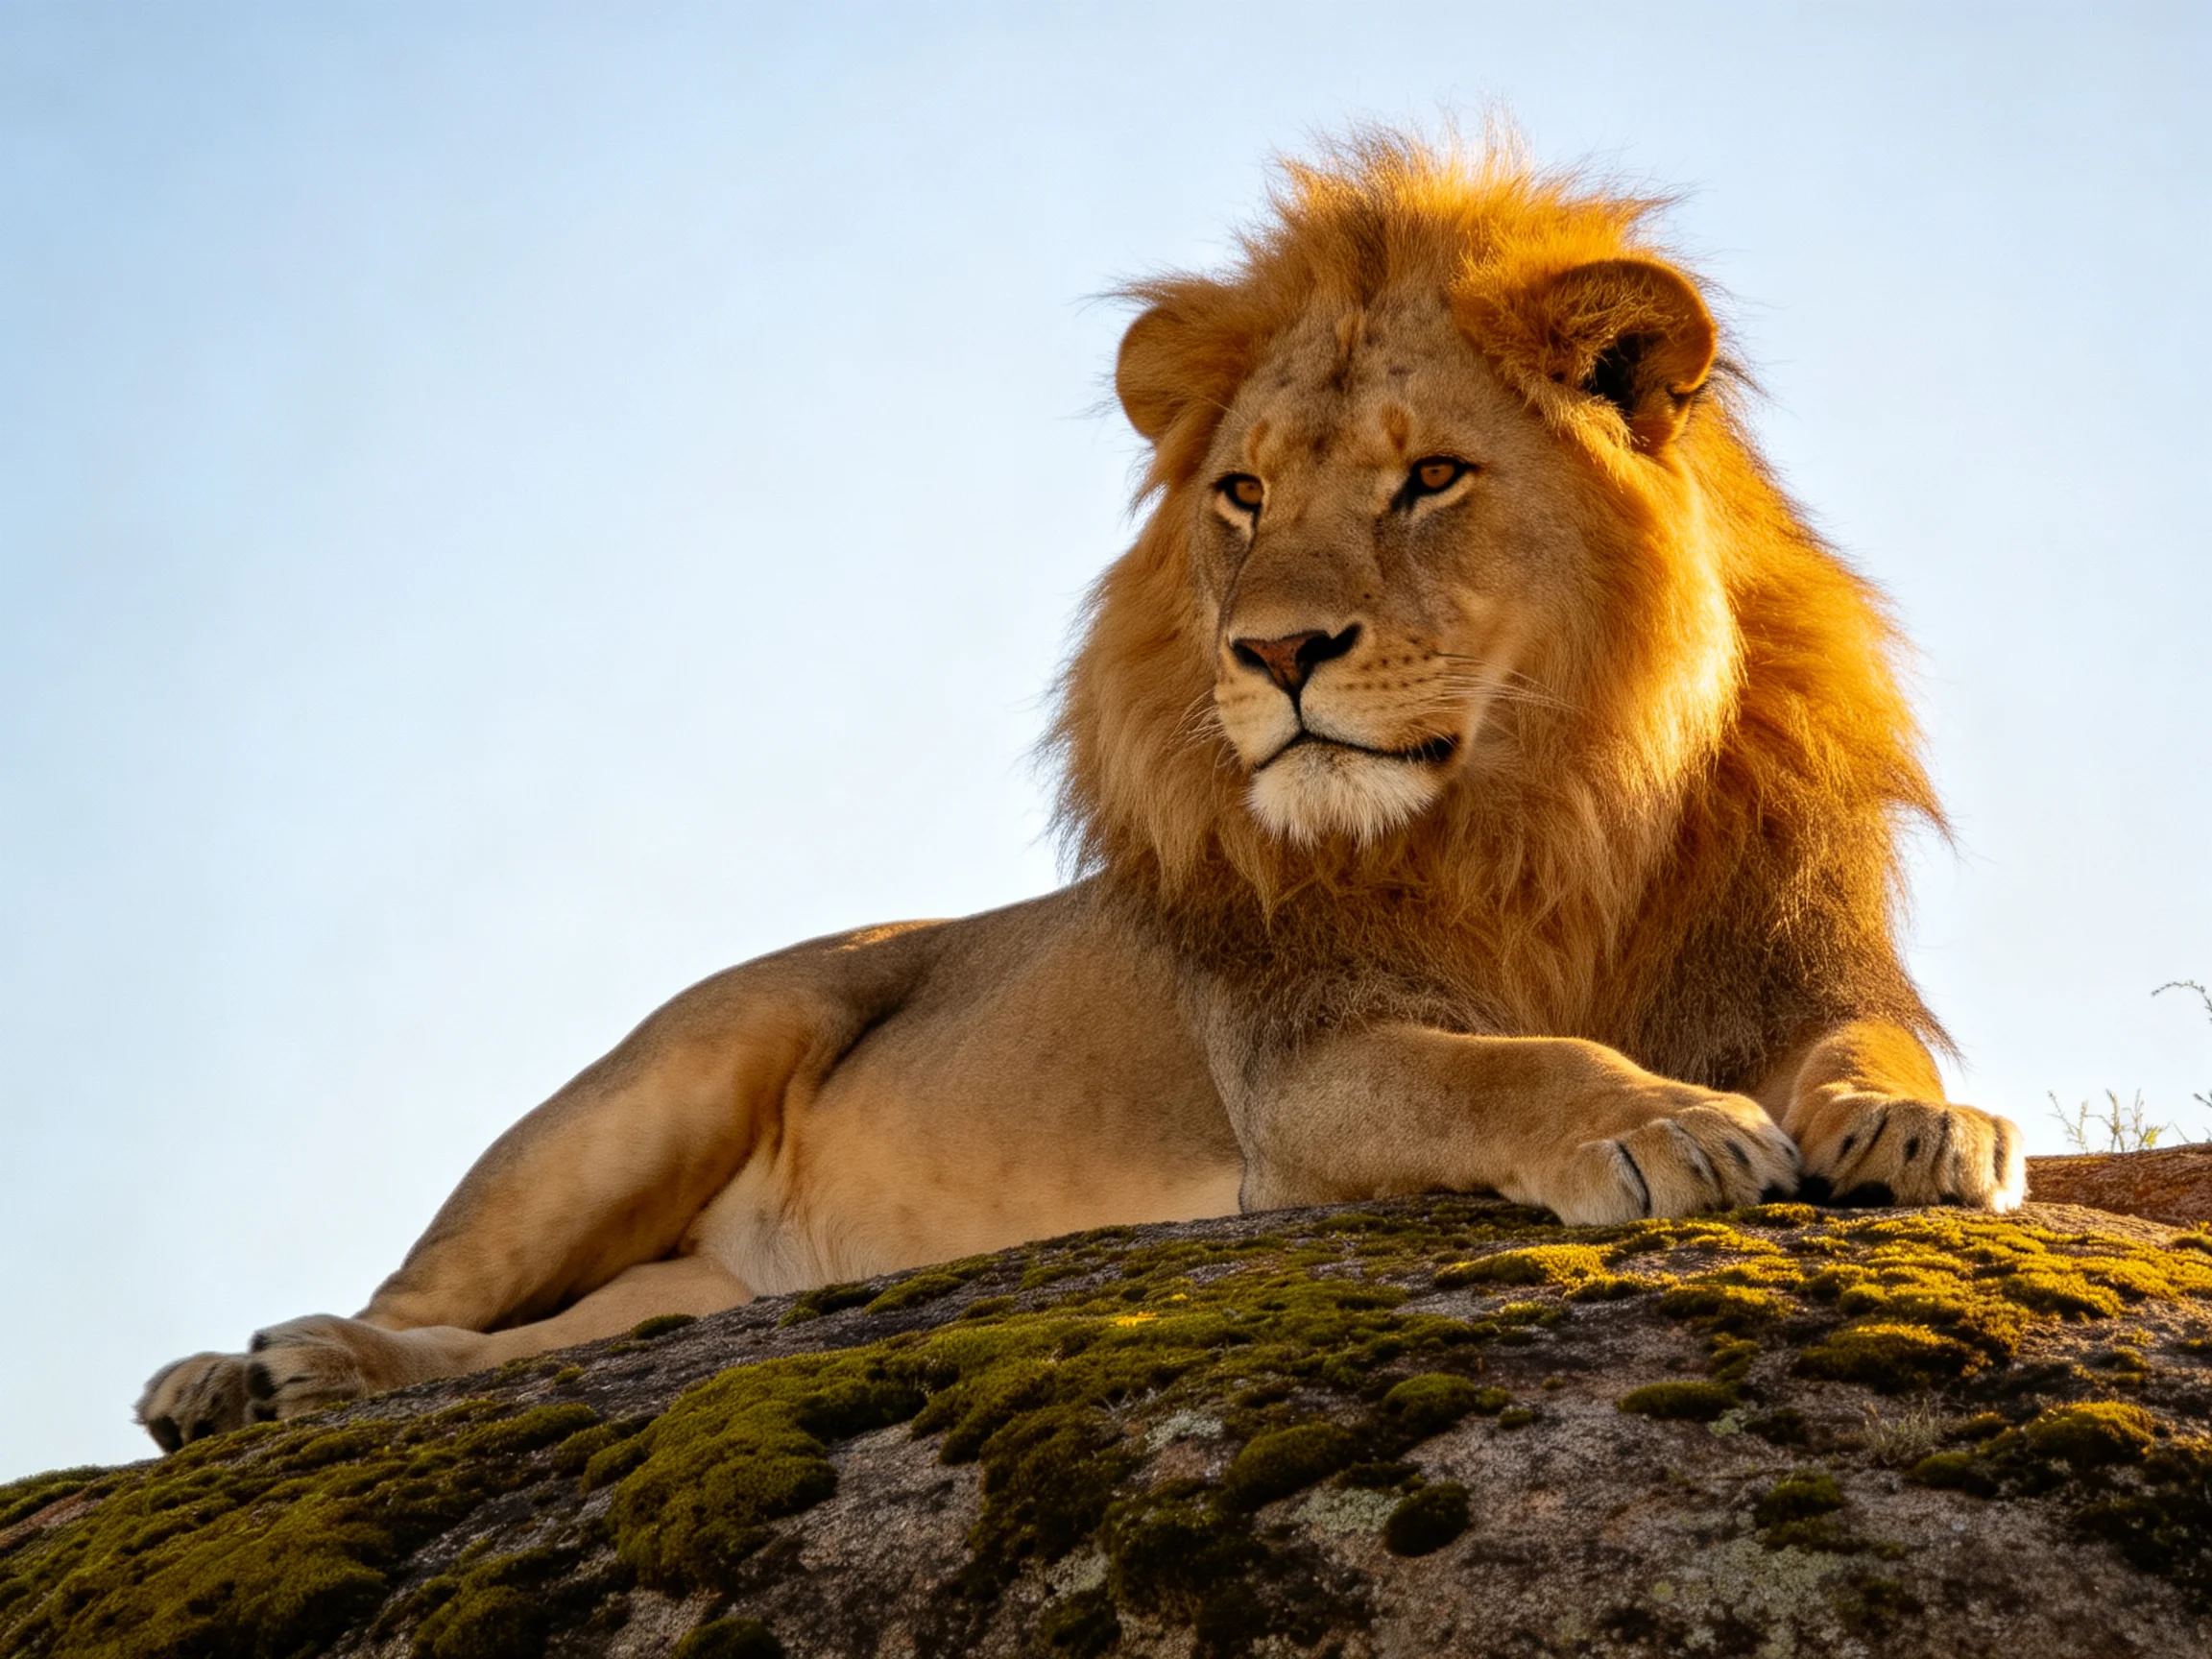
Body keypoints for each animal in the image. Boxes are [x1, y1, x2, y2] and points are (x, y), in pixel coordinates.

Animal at [138, 133, 2025, 1451]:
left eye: (1430, 478)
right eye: (1243, 494)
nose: (1275, 653)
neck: (1545, 801)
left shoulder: (1793, 967)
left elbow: (1874, 1046)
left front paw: (1922, 1130)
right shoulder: (1300, 1072)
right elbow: (1506, 1067)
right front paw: (1659, 1126)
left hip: (684, 1287)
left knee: (539, 1346)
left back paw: (309, 1383)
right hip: (660, 1083)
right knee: (424, 1286)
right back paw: (243, 1373)